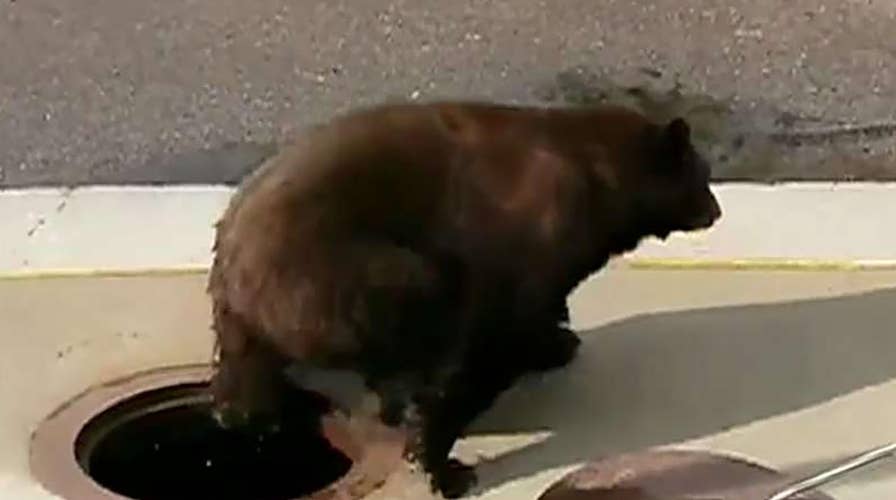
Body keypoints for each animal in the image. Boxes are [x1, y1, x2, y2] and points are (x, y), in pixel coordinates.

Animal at [207, 100, 721, 498]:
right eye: (702, 174)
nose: (716, 210)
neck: (598, 181)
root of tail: (232, 262)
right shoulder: (521, 241)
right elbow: (489, 343)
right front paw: (441, 461)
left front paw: (557, 342)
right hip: (340, 272)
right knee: (420, 304)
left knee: (246, 383)